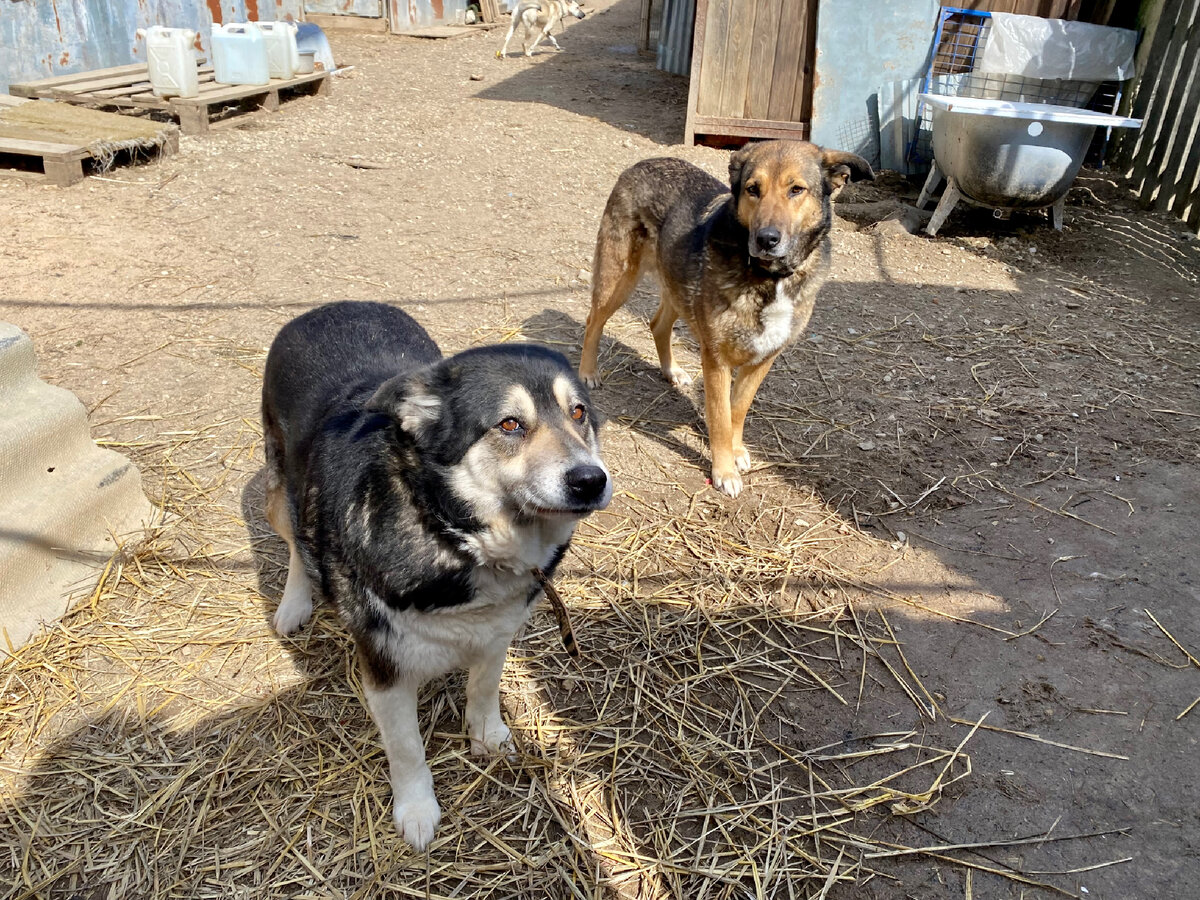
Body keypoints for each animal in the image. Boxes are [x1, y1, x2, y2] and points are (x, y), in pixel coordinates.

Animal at [266, 303, 614, 854]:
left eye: (578, 412)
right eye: (510, 424)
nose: (590, 480)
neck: (452, 533)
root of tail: (329, 307)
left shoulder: (497, 632)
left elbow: (484, 688)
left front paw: (488, 737)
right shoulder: (384, 664)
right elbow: (406, 747)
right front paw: (416, 810)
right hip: (283, 490)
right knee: (297, 539)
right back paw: (294, 604)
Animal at [578, 137, 873, 496]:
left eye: (796, 190)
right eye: (752, 189)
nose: (766, 239)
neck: (770, 278)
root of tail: (642, 163)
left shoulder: (762, 359)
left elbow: (738, 409)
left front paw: (735, 451)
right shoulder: (715, 358)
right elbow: (720, 416)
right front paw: (724, 470)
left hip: (677, 287)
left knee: (657, 324)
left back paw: (672, 370)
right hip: (618, 279)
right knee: (594, 320)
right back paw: (588, 371)